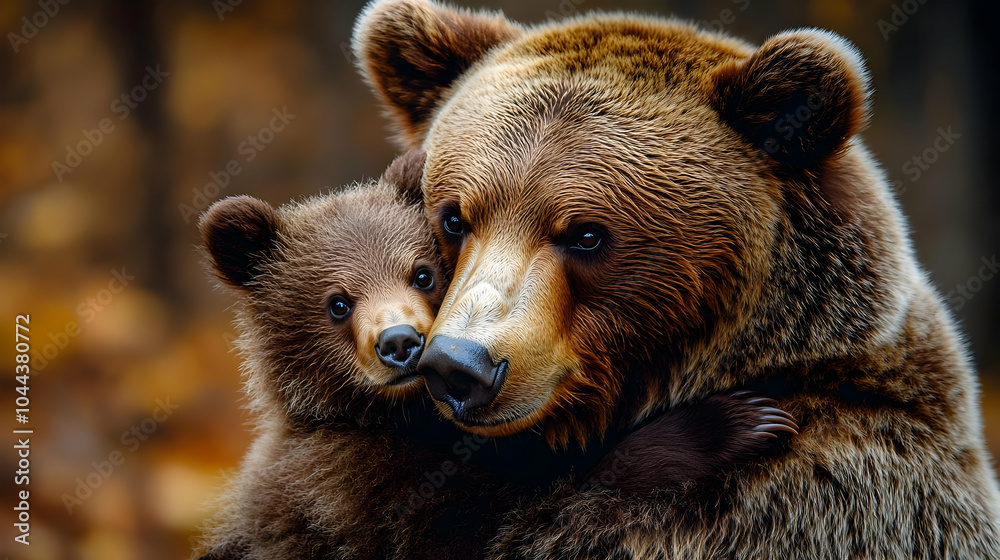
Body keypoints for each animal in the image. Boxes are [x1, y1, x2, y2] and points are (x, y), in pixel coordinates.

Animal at [194, 149, 798, 558]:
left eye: (422, 273)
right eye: (337, 302)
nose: (401, 342)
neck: (395, 419)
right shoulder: (354, 494)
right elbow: (524, 521)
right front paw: (735, 422)